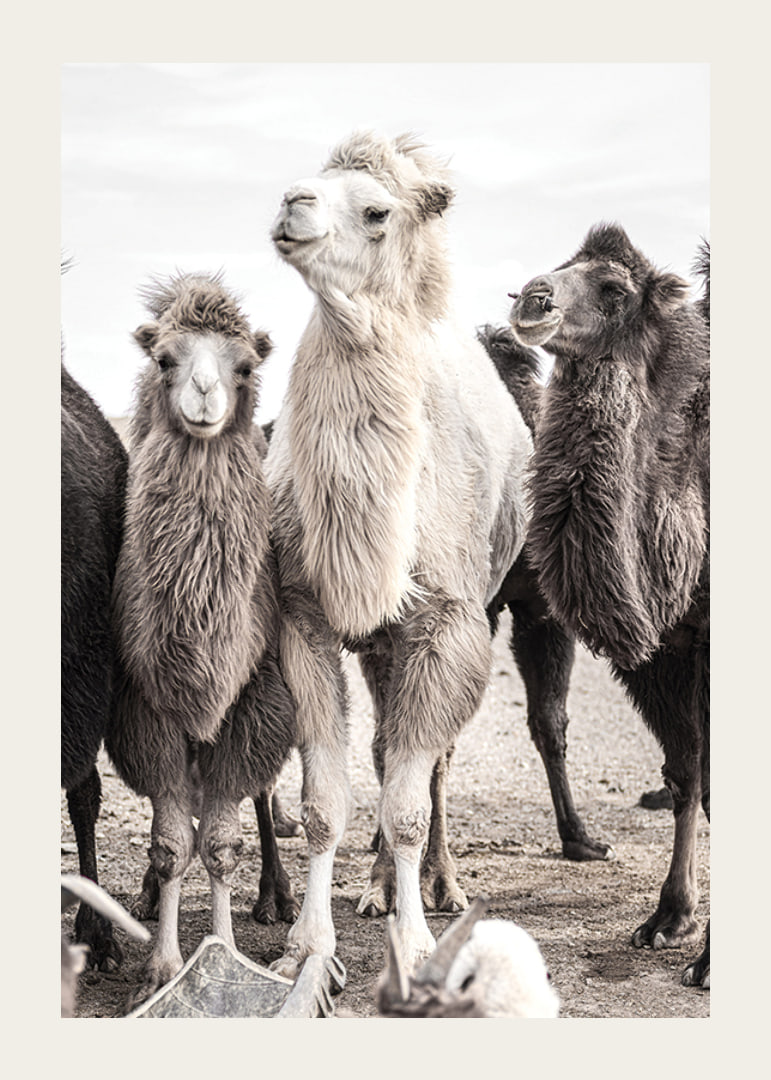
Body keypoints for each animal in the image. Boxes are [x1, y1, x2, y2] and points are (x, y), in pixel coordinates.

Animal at [264, 132, 533, 975]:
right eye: (313, 183)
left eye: (376, 211)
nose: (292, 202)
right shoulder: (304, 617)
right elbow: (324, 802)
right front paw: (306, 949)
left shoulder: (446, 623)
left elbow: (413, 802)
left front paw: (414, 950)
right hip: (382, 643)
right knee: (386, 749)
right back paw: (379, 887)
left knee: (432, 763)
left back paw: (436, 886)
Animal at [508, 223, 710, 987]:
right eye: (565, 265)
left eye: (615, 289)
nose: (532, 299)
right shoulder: (661, 652)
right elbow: (684, 776)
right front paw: (668, 918)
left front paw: (708, 960)